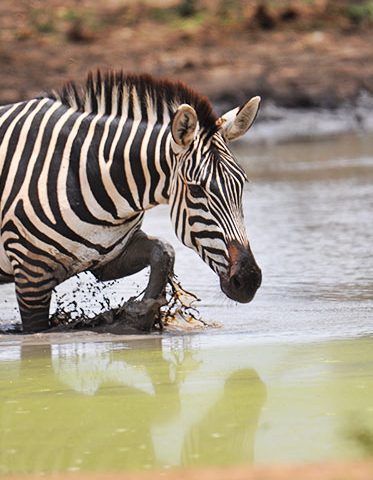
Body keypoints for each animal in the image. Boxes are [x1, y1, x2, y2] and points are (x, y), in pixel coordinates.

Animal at [0, 71, 262, 332]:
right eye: (197, 190)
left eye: (241, 184)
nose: (249, 280)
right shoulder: (31, 279)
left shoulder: (105, 256)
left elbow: (164, 251)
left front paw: (140, 313)